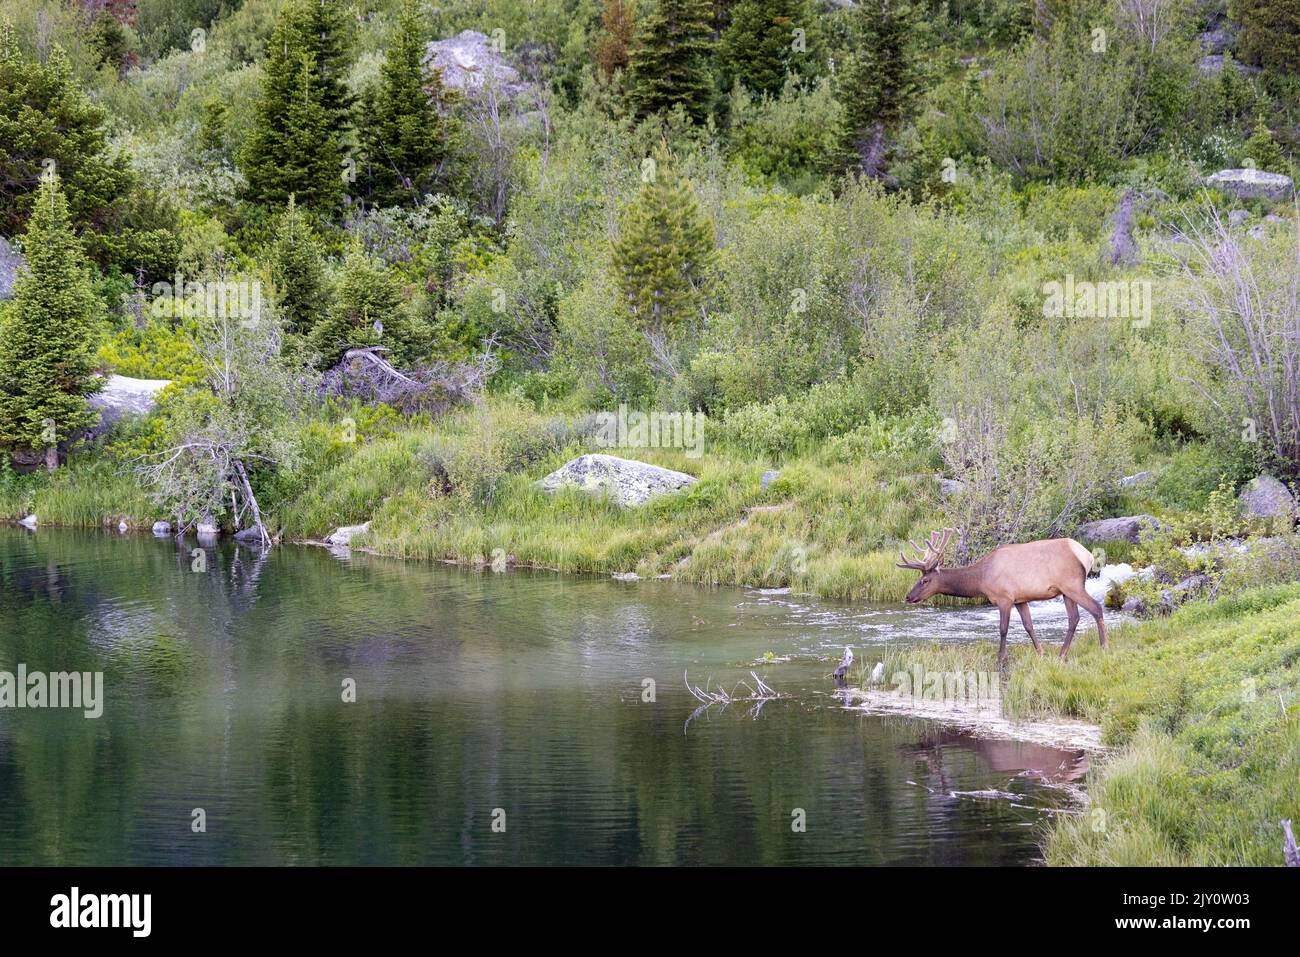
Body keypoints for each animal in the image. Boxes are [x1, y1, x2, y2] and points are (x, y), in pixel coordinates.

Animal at [895, 528, 1108, 665]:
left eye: (925, 580)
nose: (908, 596)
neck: (982, 579)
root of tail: (1087, 555)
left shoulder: (1004, 598)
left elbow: (1003, 629)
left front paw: (1000, 657)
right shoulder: (1021, 599)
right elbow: (1029, 626)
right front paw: (1041, 653)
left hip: (1073, 585)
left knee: (1096, 608)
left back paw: (1104, 647)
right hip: (1065, 591)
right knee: (1074, 618)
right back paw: (1062, 654)